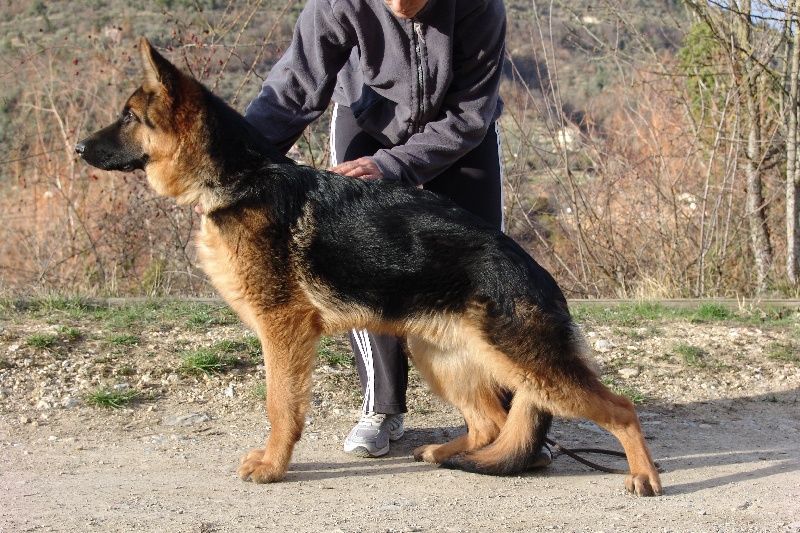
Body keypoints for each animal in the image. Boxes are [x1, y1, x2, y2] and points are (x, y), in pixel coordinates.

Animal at [76, 39, 664, 496]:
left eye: (128, 117)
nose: (78, 148)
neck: (241, 176)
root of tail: (538, 275)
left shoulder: (283, 330)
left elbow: (280, 406)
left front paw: (272, 466)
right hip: (440, 356)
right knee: (492, 424)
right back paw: (448, 453)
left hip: (529, 366)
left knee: (620, 408)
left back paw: (643, 475)